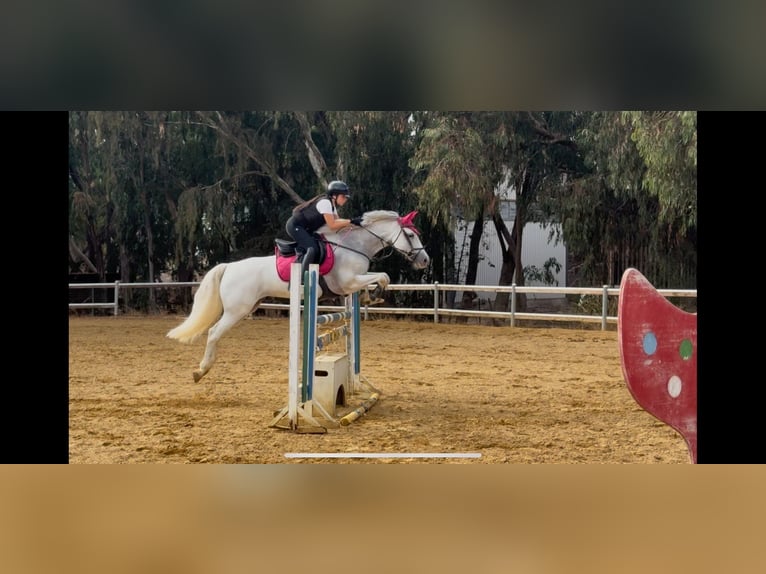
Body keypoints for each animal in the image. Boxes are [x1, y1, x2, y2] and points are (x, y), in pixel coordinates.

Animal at [166, 210, 430, 382]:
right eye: (411, 235)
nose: (425, 260)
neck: (353, 245)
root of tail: (229, 267)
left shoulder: (354, 281)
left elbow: (378, 276)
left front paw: (370, 297)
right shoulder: (347, 282)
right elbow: (383, 275)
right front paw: (374, 294)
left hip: (248, 307)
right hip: (236, 310)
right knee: (213, 332)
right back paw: (201, 371)